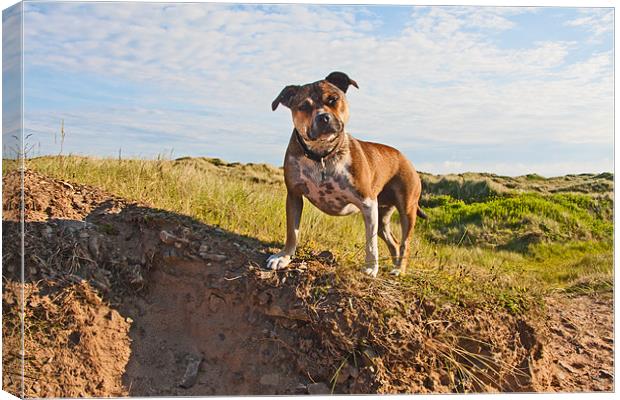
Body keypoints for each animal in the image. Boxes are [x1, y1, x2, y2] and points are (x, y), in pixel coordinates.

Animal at [266, 72, 426, 276]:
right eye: (303, 106)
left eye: (333, 99)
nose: (323, 117)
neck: (322, 155)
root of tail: (405, 158)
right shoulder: (294, 195)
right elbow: (292, 232)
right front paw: (283, 257)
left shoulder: (367, 203)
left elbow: (371, 242)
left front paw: (370, 267)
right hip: (382, 217)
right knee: (395, 243)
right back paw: (395, 266)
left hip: (406, 209)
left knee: (405, 242)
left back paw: (399, 270)